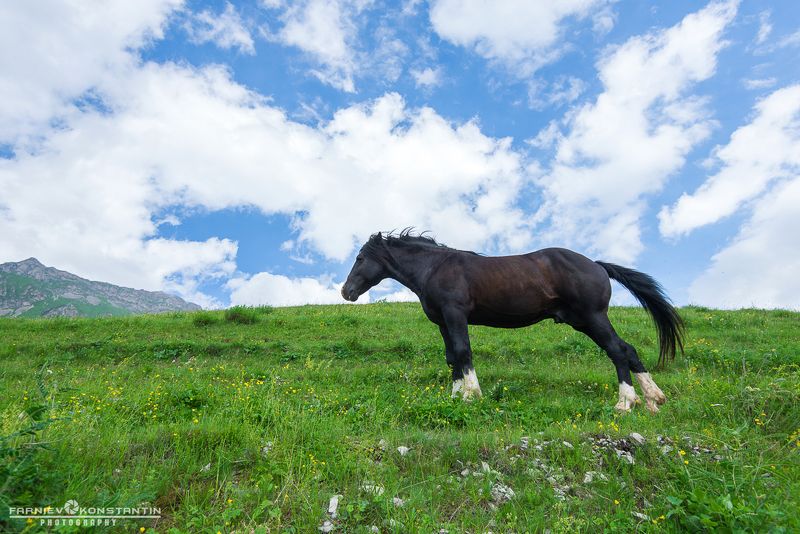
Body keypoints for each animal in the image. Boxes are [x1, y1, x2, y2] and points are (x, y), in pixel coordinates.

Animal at [340, 231, 684, 413]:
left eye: (360, 258)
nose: (346, 291)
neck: (435, 268)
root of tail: (597, 265)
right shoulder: (442, 322)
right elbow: (452, 357)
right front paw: (456, 396)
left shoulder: (456, 316)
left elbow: (464, 353)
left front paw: (472, 395)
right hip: (584, 321)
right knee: (628, 349)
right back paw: (653, 399)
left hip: (593, 318)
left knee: (617, 350)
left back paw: (626, 402)